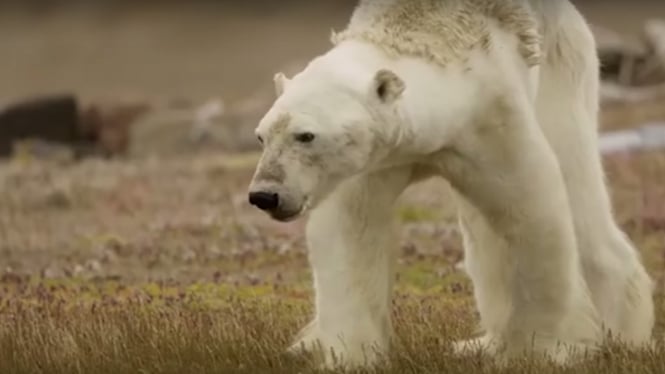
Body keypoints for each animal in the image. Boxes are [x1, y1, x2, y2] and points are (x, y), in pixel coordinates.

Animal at [245, 0, 652, 368]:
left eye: (305, 135)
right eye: (261, 136)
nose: (265, 195)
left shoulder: (493, 120)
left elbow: (532, 218)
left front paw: (537, 351)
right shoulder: (374, 160)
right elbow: (350, 233)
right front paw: (350, 355)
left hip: (563, 71)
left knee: (577, 186)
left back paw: (624, 336)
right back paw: (478, 344)